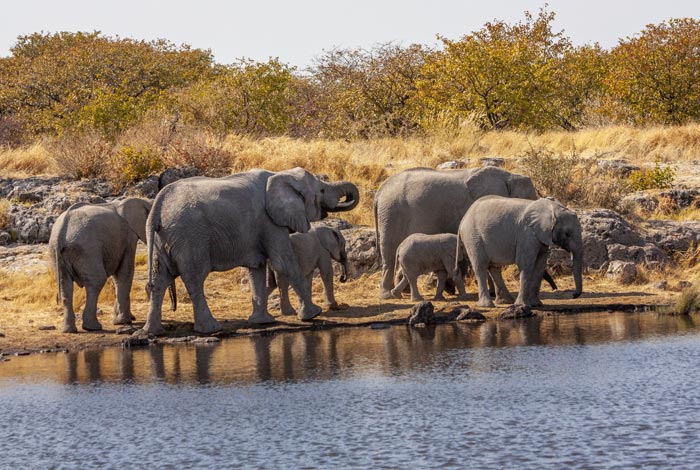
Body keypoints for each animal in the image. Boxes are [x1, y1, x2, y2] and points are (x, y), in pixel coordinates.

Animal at [49, 196, 153, 332]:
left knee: (65, 286)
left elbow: (117, 277)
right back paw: (93, 327)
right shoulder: (129, 237)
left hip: (57, 253)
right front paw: (123, 321)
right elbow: (125, 273)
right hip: (87, 250)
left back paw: (68, 330)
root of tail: (61, 233)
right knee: (96, 281)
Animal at [143, 167, 360, 336]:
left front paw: (263, 322)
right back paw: (211, 329)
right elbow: (283, 263)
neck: (280, 174)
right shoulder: (270, 222)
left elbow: (257, 269)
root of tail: (156, 207)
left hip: (162, 239)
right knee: (194, 278)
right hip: (190, 237)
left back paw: (153, 331)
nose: (343, 278)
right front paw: (314, 314)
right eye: (321, 190)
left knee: (160, 279)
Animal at [374, 165, 556, 298]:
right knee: (389, 252)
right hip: (391, 213)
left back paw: (402, 292)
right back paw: (387, 295)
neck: (509, 176)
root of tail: (380, 191)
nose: (554, 288)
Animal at [456, 196, 584, 308]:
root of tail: (463, 219)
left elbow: (539, 265)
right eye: (567, 234)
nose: (573, 295)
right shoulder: (526, 234)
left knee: (494, 268)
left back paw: (506, 302)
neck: (552, 209)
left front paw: (536, 304)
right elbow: (525, 264)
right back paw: (487, 305)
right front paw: (522, 306)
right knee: (481, 267)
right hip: (473, 238)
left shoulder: (541, 236)